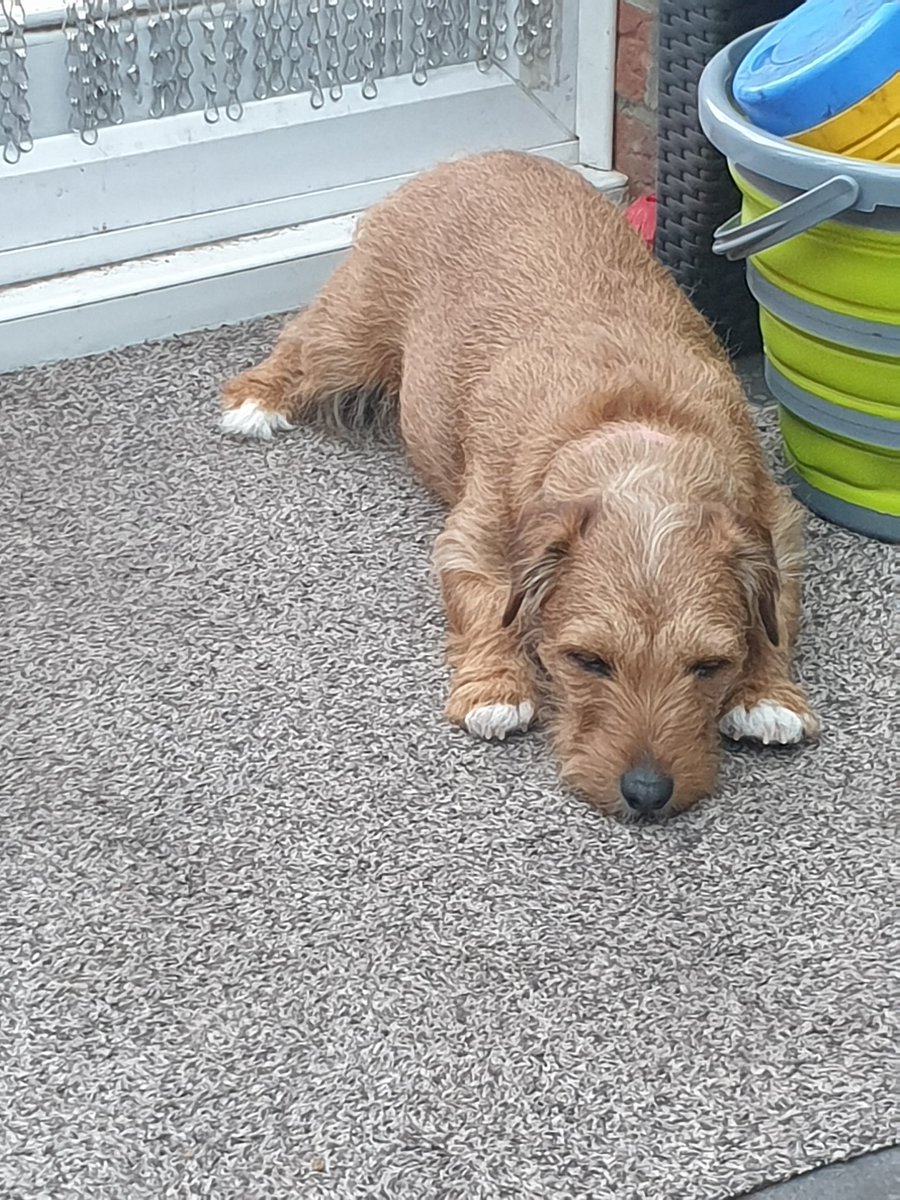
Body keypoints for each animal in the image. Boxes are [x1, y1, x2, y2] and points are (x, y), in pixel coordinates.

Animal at [222, 150, 820, 816]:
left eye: (709, 665)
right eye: (588, 661)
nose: (647, 795)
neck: (634, 429)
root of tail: (473, 158)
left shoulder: (779, 529)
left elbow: (777, 616)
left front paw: (766, 694)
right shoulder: (472, 541)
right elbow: (489, 607)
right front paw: (496, 687)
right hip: (351, 335)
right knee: (300, 343)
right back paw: (256, 400)